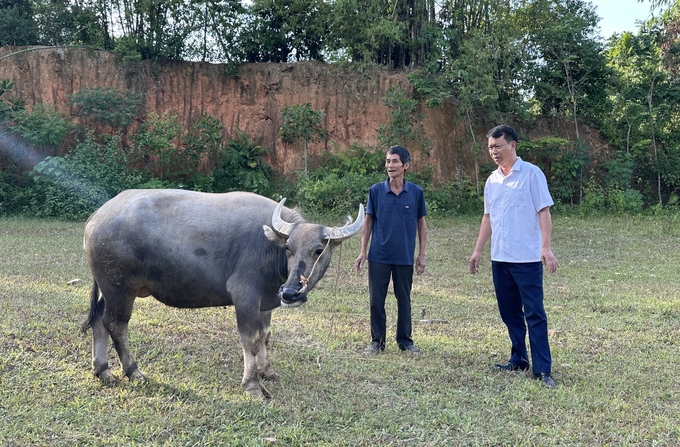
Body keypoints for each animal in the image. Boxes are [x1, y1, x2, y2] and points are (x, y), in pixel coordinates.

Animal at [80, 189, 364, 400]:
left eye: (318, 250)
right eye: (289, 248)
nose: (291, 292)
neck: (268, 250)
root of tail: (96, 217)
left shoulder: (265, 303)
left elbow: (265, 336)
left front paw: (267, 370)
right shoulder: (245, 296)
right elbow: (250, 340)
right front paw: (252, 385)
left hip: (110, 289)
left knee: (99, 322)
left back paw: (102, 371)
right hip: (121, 288)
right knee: (116, 325)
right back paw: (133, 371)